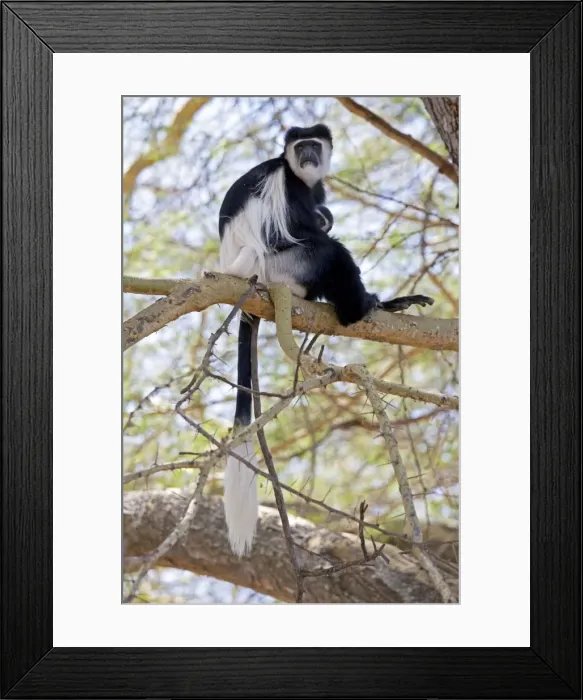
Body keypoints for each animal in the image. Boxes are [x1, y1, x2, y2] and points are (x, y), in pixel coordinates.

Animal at [218, 124, 433, 557]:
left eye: (314, 146)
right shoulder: (287, 188)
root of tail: (243, 276)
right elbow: (296, 230)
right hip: (280, 267)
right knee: (327, 252)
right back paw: (359, 307)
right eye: (301, 147)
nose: (309, 157)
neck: (299, 176)